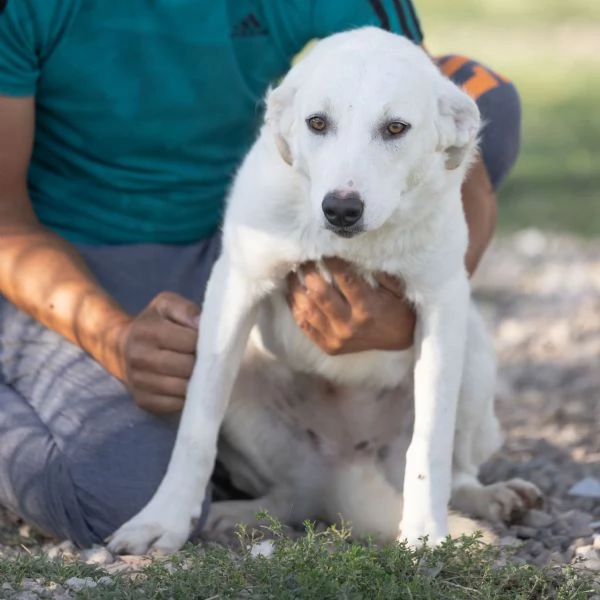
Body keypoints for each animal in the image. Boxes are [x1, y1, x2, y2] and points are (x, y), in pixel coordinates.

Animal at [106, 27, 540, 552]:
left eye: (396, 128)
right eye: (317, 123)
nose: (341, 209)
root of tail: (341, 470)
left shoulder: (441, 303)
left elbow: (430, 443)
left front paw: (426, 534)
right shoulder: (235, 286)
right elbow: (195, 427)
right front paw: (162, 520)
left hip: (472, 351)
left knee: (456, 472)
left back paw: (491, 500)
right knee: (293, 496)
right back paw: (236, 516)